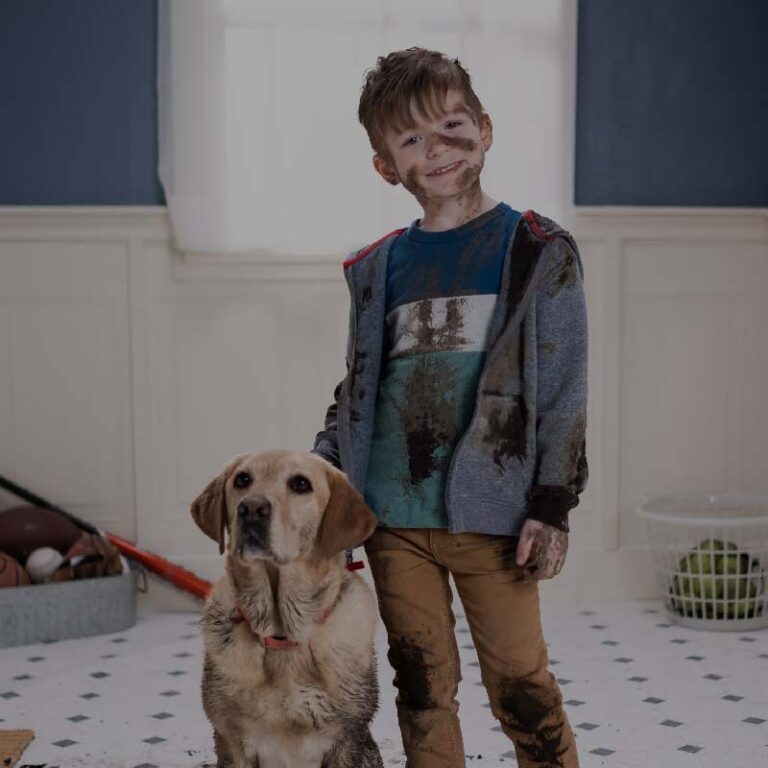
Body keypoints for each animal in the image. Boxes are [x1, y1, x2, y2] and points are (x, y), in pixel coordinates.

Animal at [192, 450, 384, 768]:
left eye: (301, 484)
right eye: (242, 479)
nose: (251, 509)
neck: (283, 634)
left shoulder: (347, 737)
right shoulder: (230, 739)